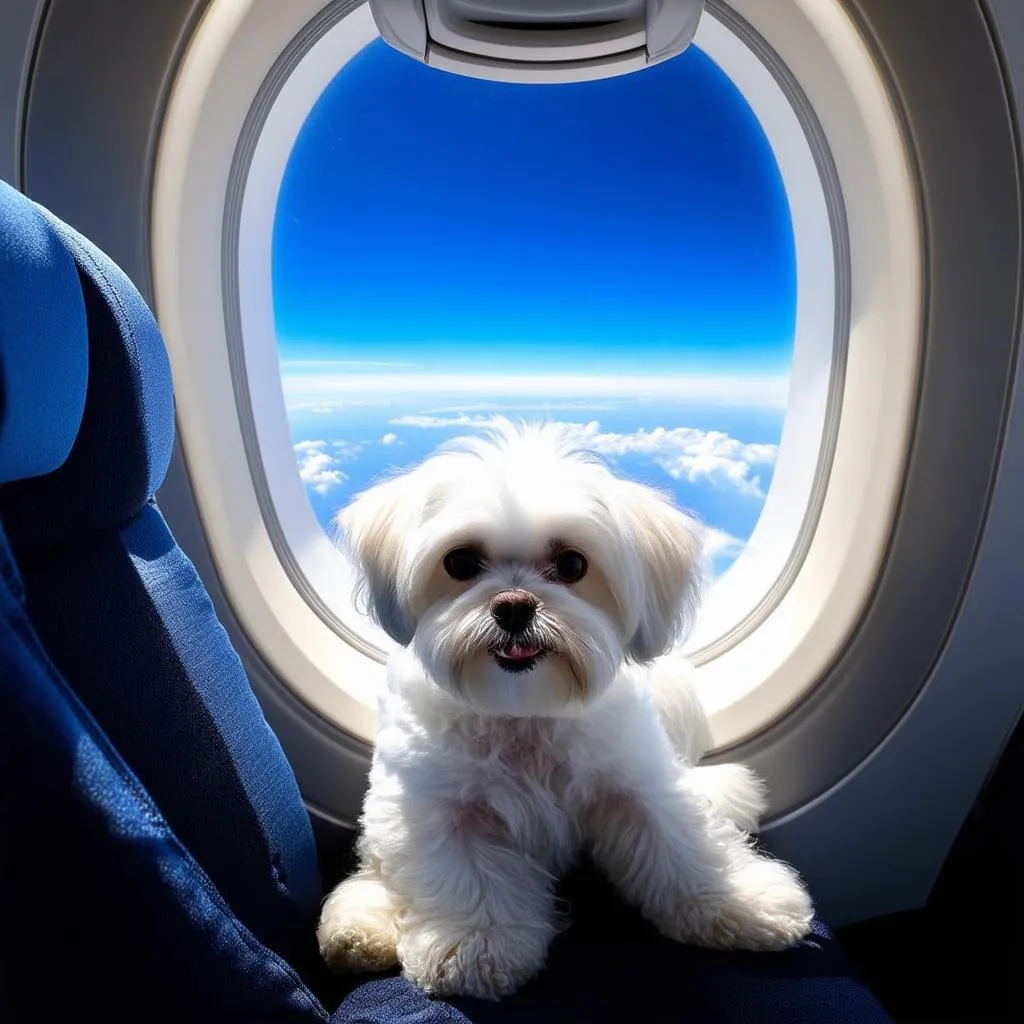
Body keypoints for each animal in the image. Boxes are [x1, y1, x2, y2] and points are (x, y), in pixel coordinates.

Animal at [315, 417, 811, 999]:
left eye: (573, 564)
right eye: (460, 562)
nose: (513, 605)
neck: (526, 713)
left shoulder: (637, 783)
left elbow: (682, 846)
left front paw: (737, 903)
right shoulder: (443, 809)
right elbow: (472, 879)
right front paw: (478, 944)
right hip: (387, 819)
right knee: (377, 870)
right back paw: (358, 929)